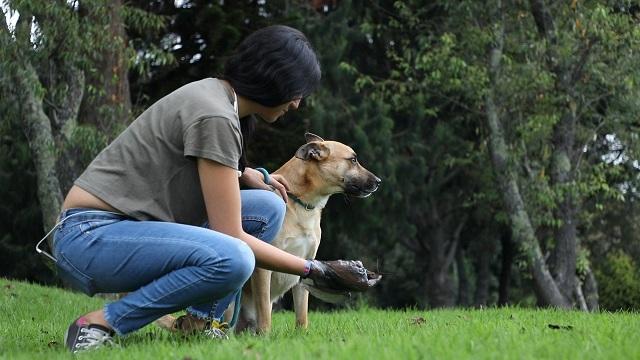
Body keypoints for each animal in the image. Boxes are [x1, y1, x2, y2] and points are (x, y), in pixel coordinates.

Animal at [239, 132, 380, 332]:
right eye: (353, 160)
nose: (379, 182)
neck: (301, 204)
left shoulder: (305, 264)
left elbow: (301, 312)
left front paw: (302, 334)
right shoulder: (263, 269)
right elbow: (265, 309)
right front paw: (265, 334)